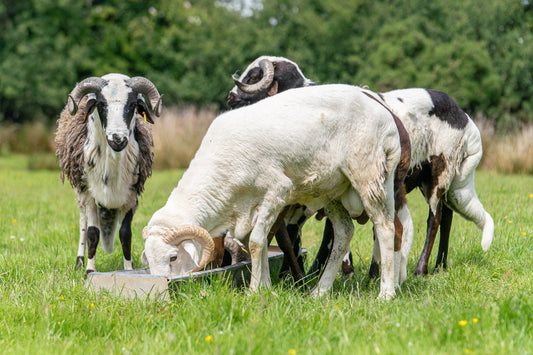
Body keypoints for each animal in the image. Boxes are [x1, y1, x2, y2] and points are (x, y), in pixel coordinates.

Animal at [54, 73, 163, 276]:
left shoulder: (131, 195)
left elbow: (125, 233)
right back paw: (79, 262)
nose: (117, 139)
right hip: (80, 191)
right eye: (101, 104)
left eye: (133, 105)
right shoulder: (89, 194)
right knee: (83, 223)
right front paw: (90, 270)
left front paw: (129, 269)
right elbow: (92, 233)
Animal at [142, 84, 404, 300]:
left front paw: (254, 291)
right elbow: (259, 244)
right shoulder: (249, 207)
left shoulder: (277, 190)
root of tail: (385, 114)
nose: (162, 285)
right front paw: (265, 286)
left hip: (370, 174)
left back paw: (386, 293)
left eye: (173, 257)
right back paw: (319, 291)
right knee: (344, 233)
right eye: (148, 259)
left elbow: (257, 243)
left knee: (385, 227)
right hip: (331, 189)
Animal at [227, 55, 492, 280]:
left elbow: (327, 234)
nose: (229, 98)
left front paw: (337, 272)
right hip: (434, 179)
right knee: (447, 216)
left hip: (439, 172)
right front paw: (300, 276)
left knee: (434, 219)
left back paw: (420, 269)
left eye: (253, 76)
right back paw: (438, 266)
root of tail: (463, 115)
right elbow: (298, 236)